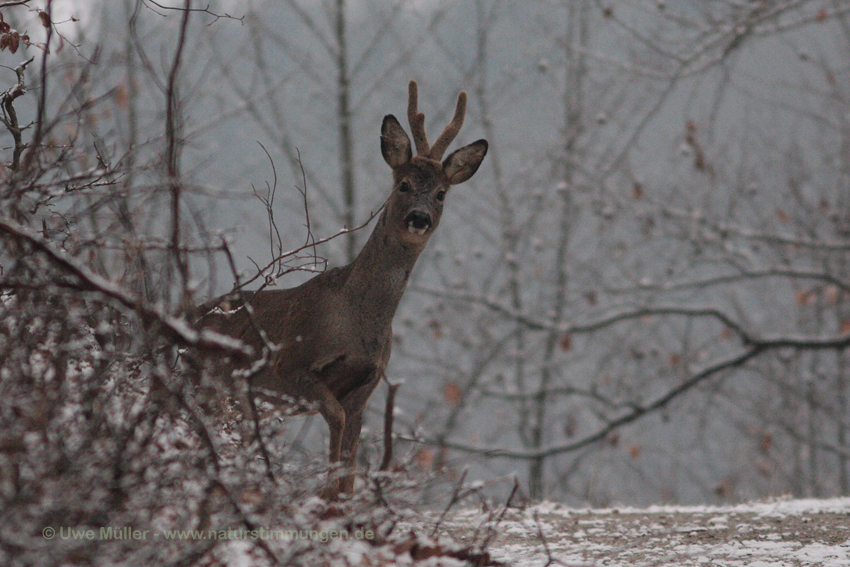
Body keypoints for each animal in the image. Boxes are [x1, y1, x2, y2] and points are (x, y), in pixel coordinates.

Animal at [202, 80, 486, 496]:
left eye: (441, 193)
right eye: (403, 184)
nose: (419, 218)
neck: (356, 321)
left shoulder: (366, 386)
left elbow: (350, 462)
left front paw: (338, 496)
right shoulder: (291, 365)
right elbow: (334, 421)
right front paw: (325, 493)